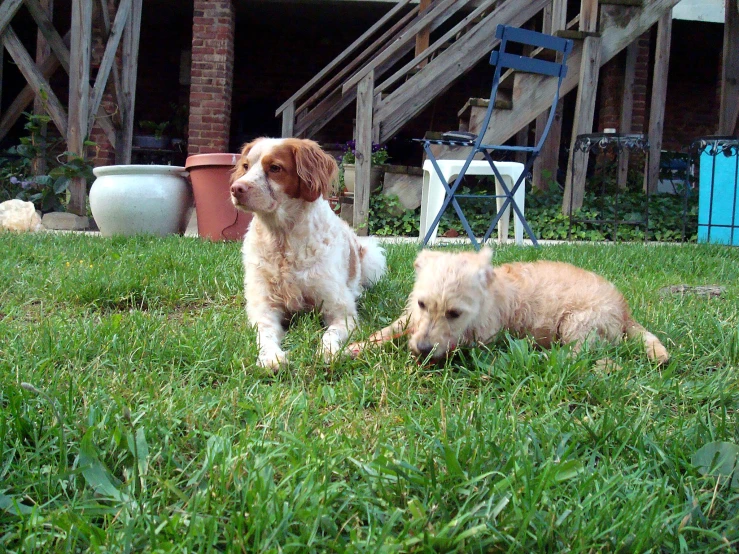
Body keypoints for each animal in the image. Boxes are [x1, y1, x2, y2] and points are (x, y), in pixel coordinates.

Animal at [231, 136, 388, 368]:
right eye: (245, 166)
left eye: (275, 168)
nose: (236, 188)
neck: (283, 238)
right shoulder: (264, 308)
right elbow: (265, 335)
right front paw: (271, 357)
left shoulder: (341, 310)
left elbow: (330, 334)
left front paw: (329, 352)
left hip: (372, 256)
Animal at [348, 248, 672, 364]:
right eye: (422, 303)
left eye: (454, 313)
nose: (423, 349)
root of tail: (625, 309)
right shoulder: (411, 318)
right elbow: (389, 330)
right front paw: (355, 347)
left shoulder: (481, 339)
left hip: (578, 323)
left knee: (582, 355)